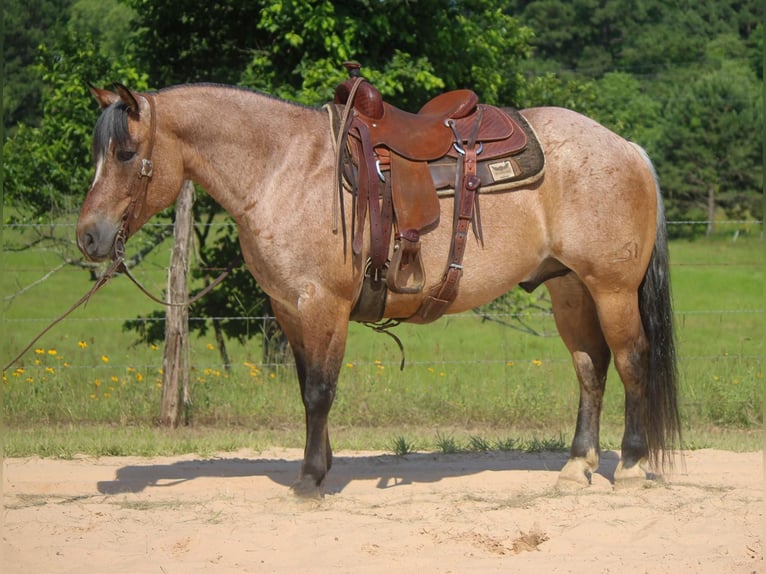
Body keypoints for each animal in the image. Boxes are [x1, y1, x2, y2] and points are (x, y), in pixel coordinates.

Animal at [75, 83, 680, 498]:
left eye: (124, 154)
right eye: (96, 154)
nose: (89, 236)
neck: (284, 169)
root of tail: (627, 147)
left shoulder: (323, 304)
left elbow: (321, 391)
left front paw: (310, 480)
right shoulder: (290, 309)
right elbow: (307, 389)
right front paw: (321, 467)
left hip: (612, 289)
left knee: (631, 361)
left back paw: (630, 465)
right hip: (570, 290)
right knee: (590, 368)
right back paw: (578, 466)